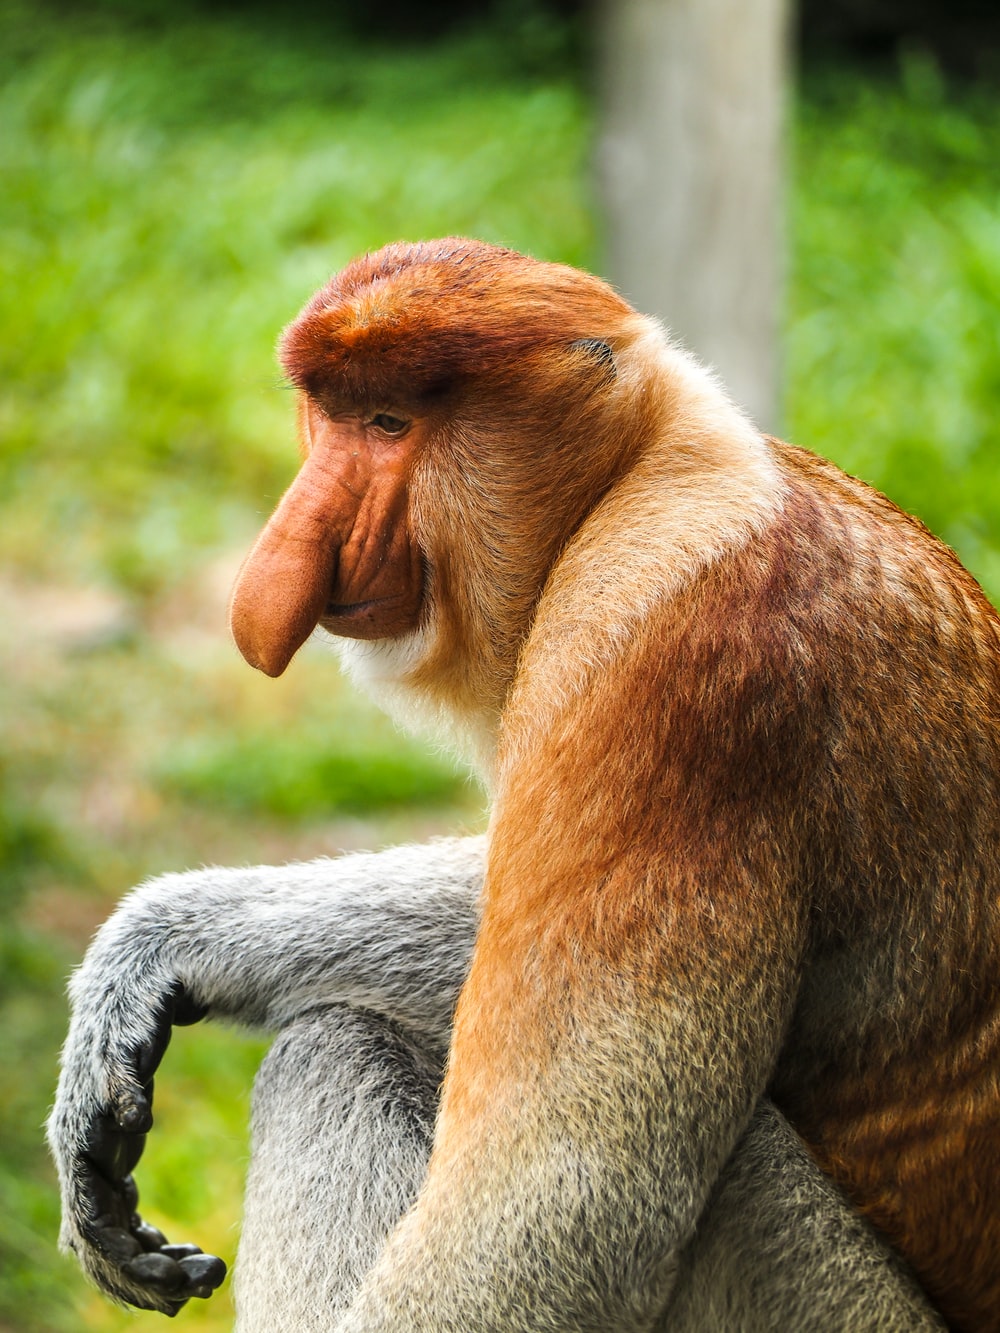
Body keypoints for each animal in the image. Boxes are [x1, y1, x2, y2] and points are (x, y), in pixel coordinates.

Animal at [49, 238, 1000, 1330]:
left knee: (338, 1049)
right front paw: (150, 953)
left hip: (820, 1300)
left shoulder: (663, 657)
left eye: (390, 424)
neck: (643, 473)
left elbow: (558, 1200)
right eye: (329, 417)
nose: (282, 562)